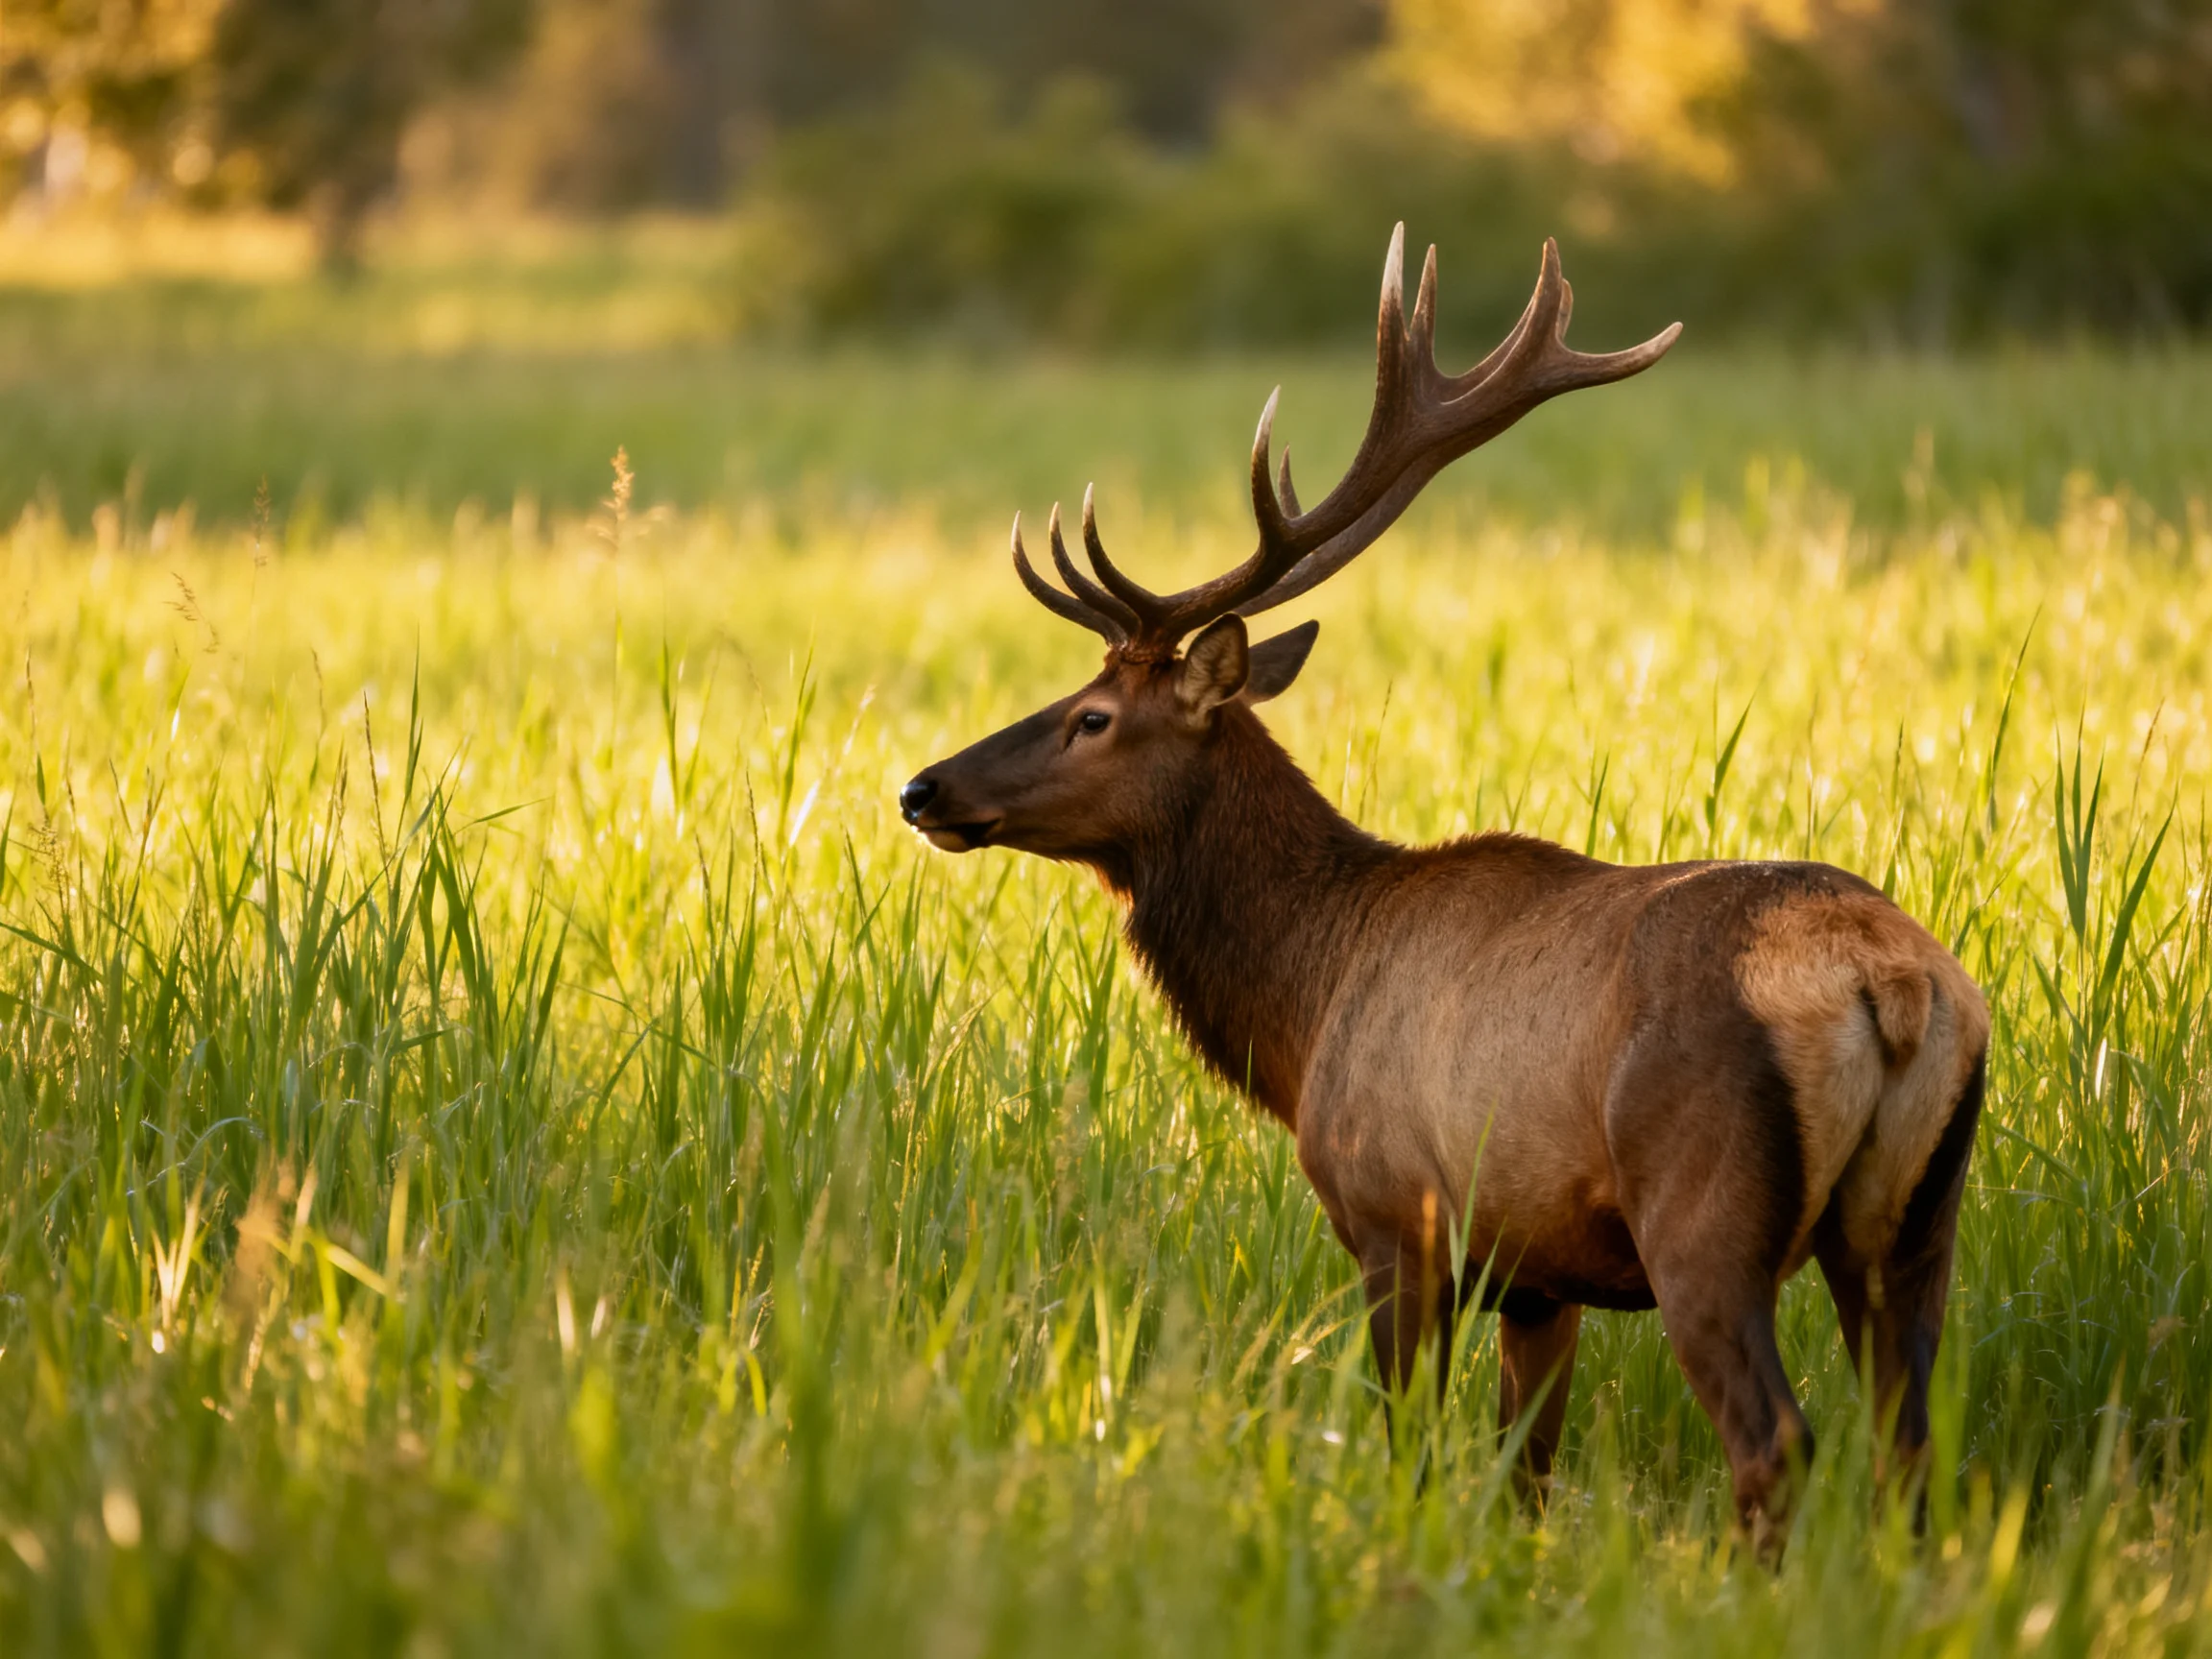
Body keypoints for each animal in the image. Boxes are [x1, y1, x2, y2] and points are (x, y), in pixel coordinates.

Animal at [898, 227, 1989, 1554]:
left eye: (1092, 716)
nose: (924, 788)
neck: (1303, 1006)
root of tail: (1891, 985)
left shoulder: (1393, 1219)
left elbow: (1410, 1448)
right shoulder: (1542, 1277)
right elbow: (1525, 1471)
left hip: (1705, 1212)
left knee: (1775, 1441)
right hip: (1916, 1218)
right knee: (1912, 1439)